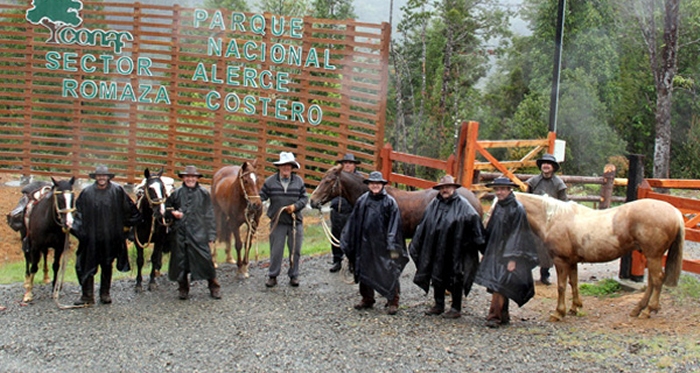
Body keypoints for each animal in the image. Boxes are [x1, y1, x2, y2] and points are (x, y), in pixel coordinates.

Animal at [516, 192, 684, 320]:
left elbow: (562, 287)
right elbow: (573, 282)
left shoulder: (561, 261)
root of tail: (675, 212)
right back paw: (637, 309)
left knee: (657, 280)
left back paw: (649, 310)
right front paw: (575, 308)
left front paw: (558, 313)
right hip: (650, 256)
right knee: (651, 282)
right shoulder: (572, 261)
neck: (553, 218)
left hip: (654, 256)